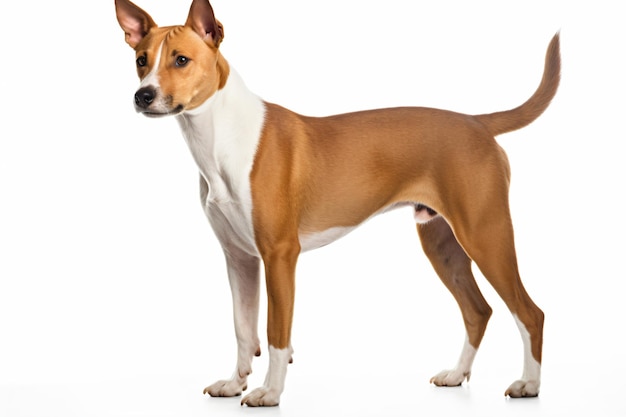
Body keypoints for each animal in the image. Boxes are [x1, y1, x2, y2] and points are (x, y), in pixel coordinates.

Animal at [114, 0, 560, 404]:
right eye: (141, 61)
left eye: (181, 60)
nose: (143, 95)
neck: (223, 136)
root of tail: (476, 122)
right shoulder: (239, 259)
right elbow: (244, 329)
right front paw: (234, 383)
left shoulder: (280, 255)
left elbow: (276, 333)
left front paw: (269, 392)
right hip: (442, 244)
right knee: (477, 310)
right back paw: (456, 375)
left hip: (486, 235)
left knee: (530, 312)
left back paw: (529, 385)